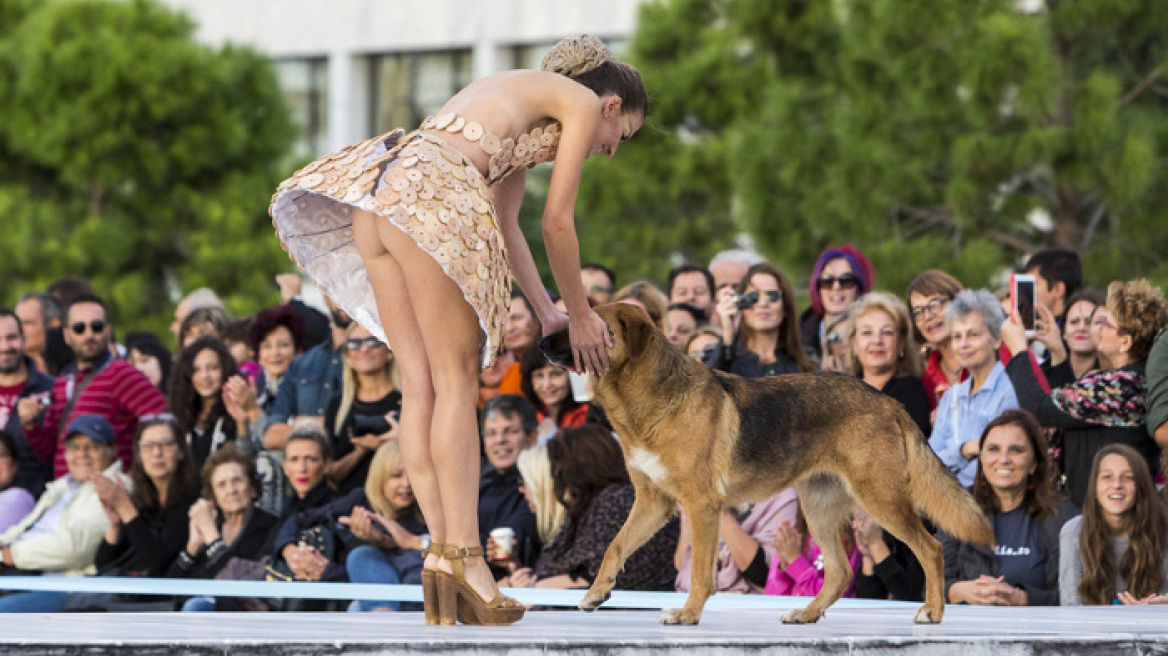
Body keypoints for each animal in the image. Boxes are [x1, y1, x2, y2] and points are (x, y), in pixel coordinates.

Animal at [537, 301, 995, 620]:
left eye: (583, 325)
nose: (539, 343)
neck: (650, 398)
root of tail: (886, 400)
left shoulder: (701, 507)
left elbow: (700, 571)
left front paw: (688, 615)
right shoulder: (654, 503)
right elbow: (615, 545)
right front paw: (596, 593)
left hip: (881, 499)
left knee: (930, 549)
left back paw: (932, 612)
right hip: (820, 506)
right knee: (840, 572)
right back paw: (807, 614)